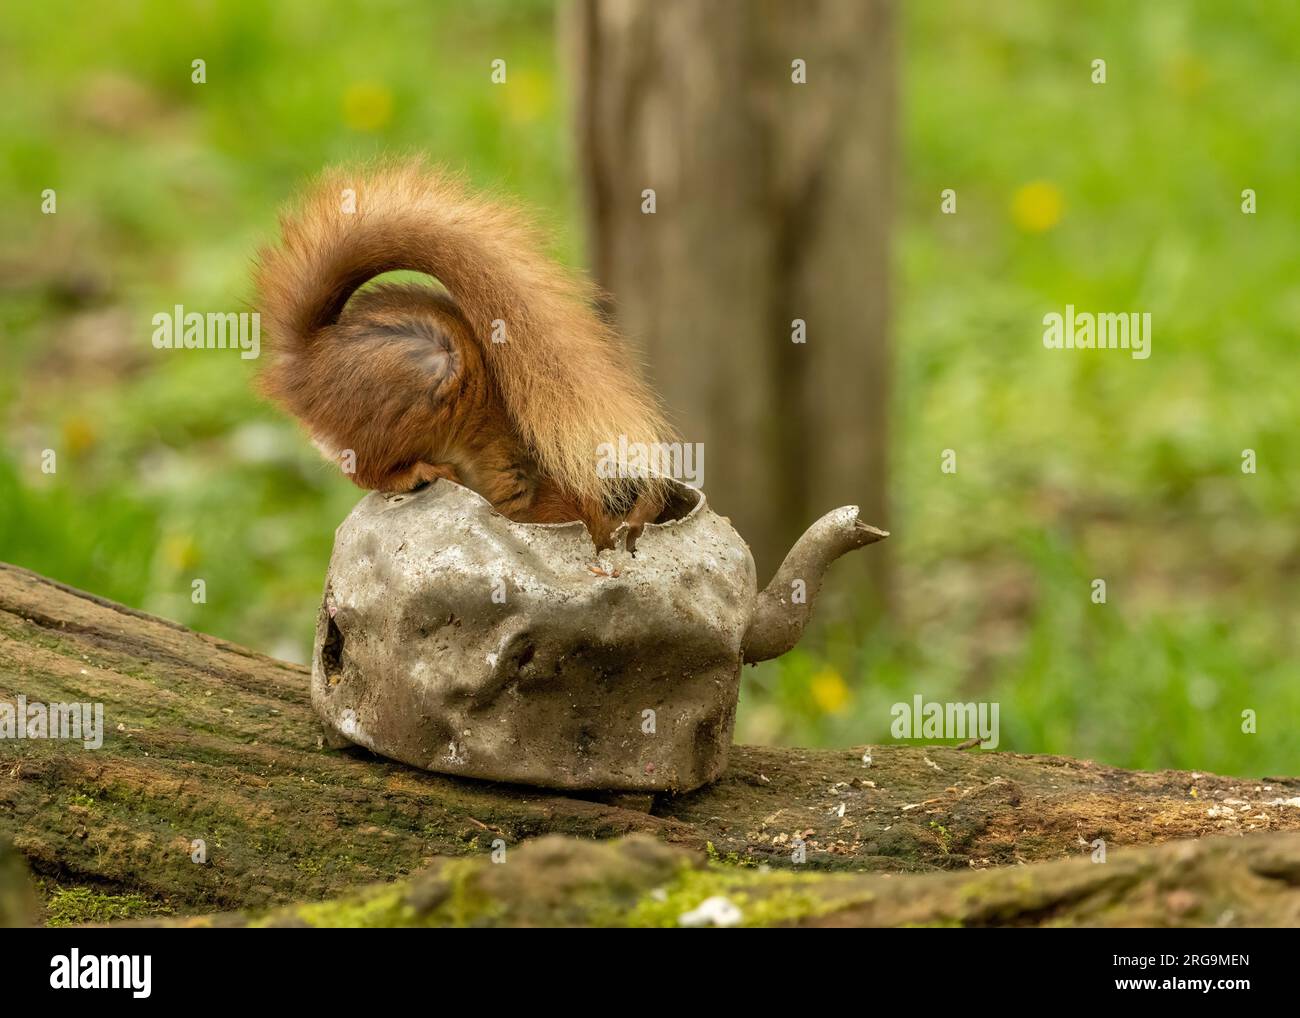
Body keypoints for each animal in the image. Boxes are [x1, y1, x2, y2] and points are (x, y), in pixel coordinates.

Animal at [257, 161, 676, 548]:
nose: (618, 545)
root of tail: (306, 364)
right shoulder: (528, 500)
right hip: (418, 386)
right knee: (368, 472)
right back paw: (417, 473)